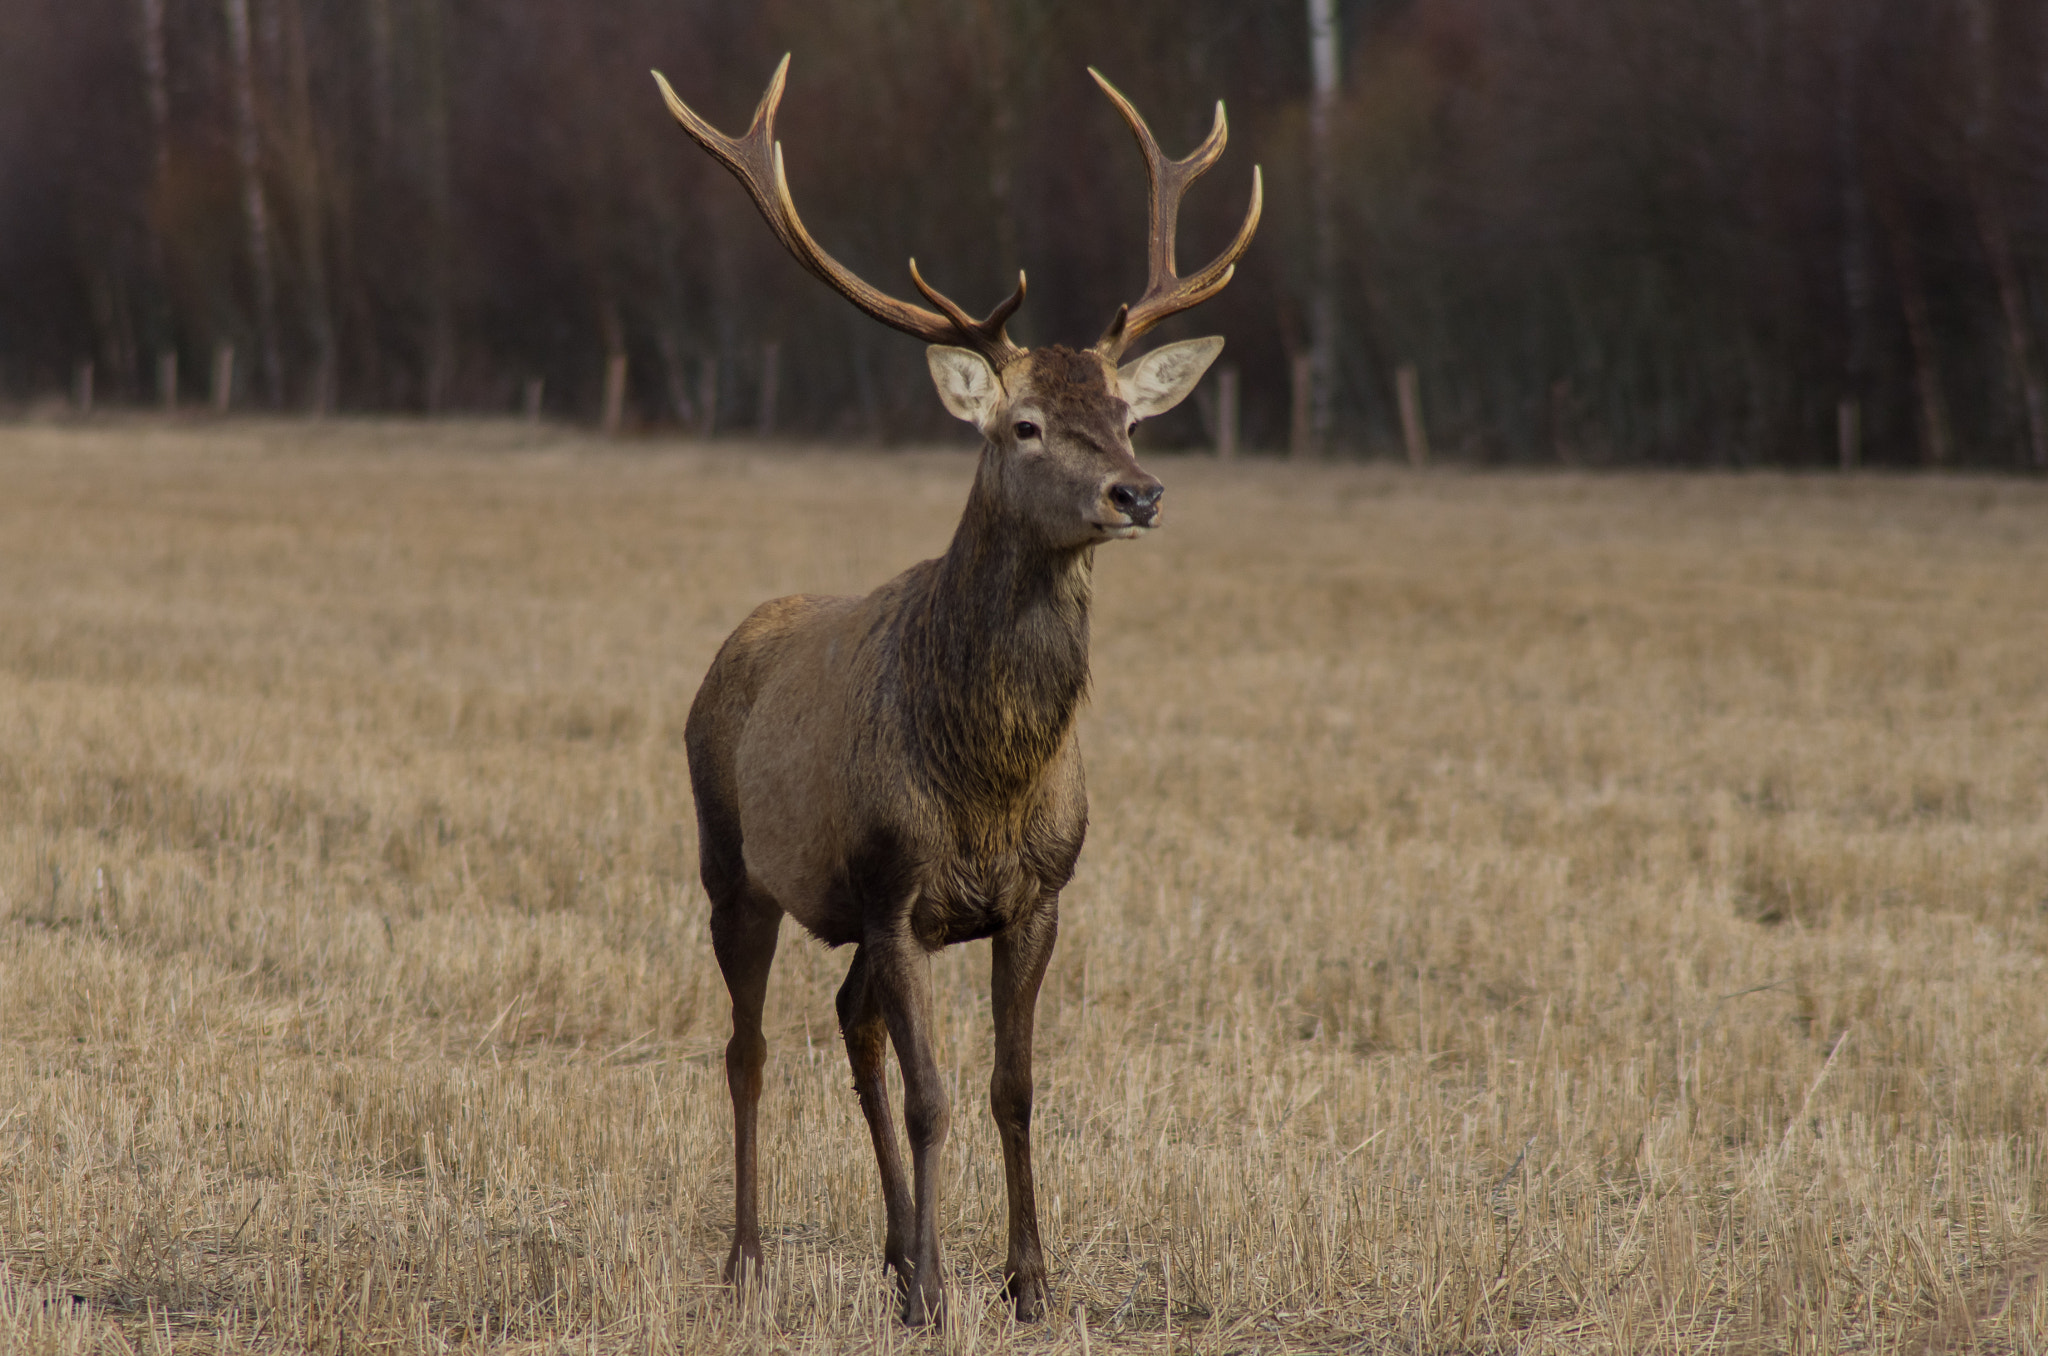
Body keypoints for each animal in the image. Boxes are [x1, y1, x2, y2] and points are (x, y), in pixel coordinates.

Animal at [652, 55, 1259, 1326]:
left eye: (1125, 414)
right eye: (1022, 423)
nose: (1138, 492)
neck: (987, 782)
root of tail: (740, 634)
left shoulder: (1033, 896)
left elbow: (1009, 1088)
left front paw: (1026, 1281)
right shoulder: (895, 888)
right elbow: (932, 1093)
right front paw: (936, 1289)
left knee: (847, 1027)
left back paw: (885, 1249)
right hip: (731, 861)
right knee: (748, 1050)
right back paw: (747, 1261)